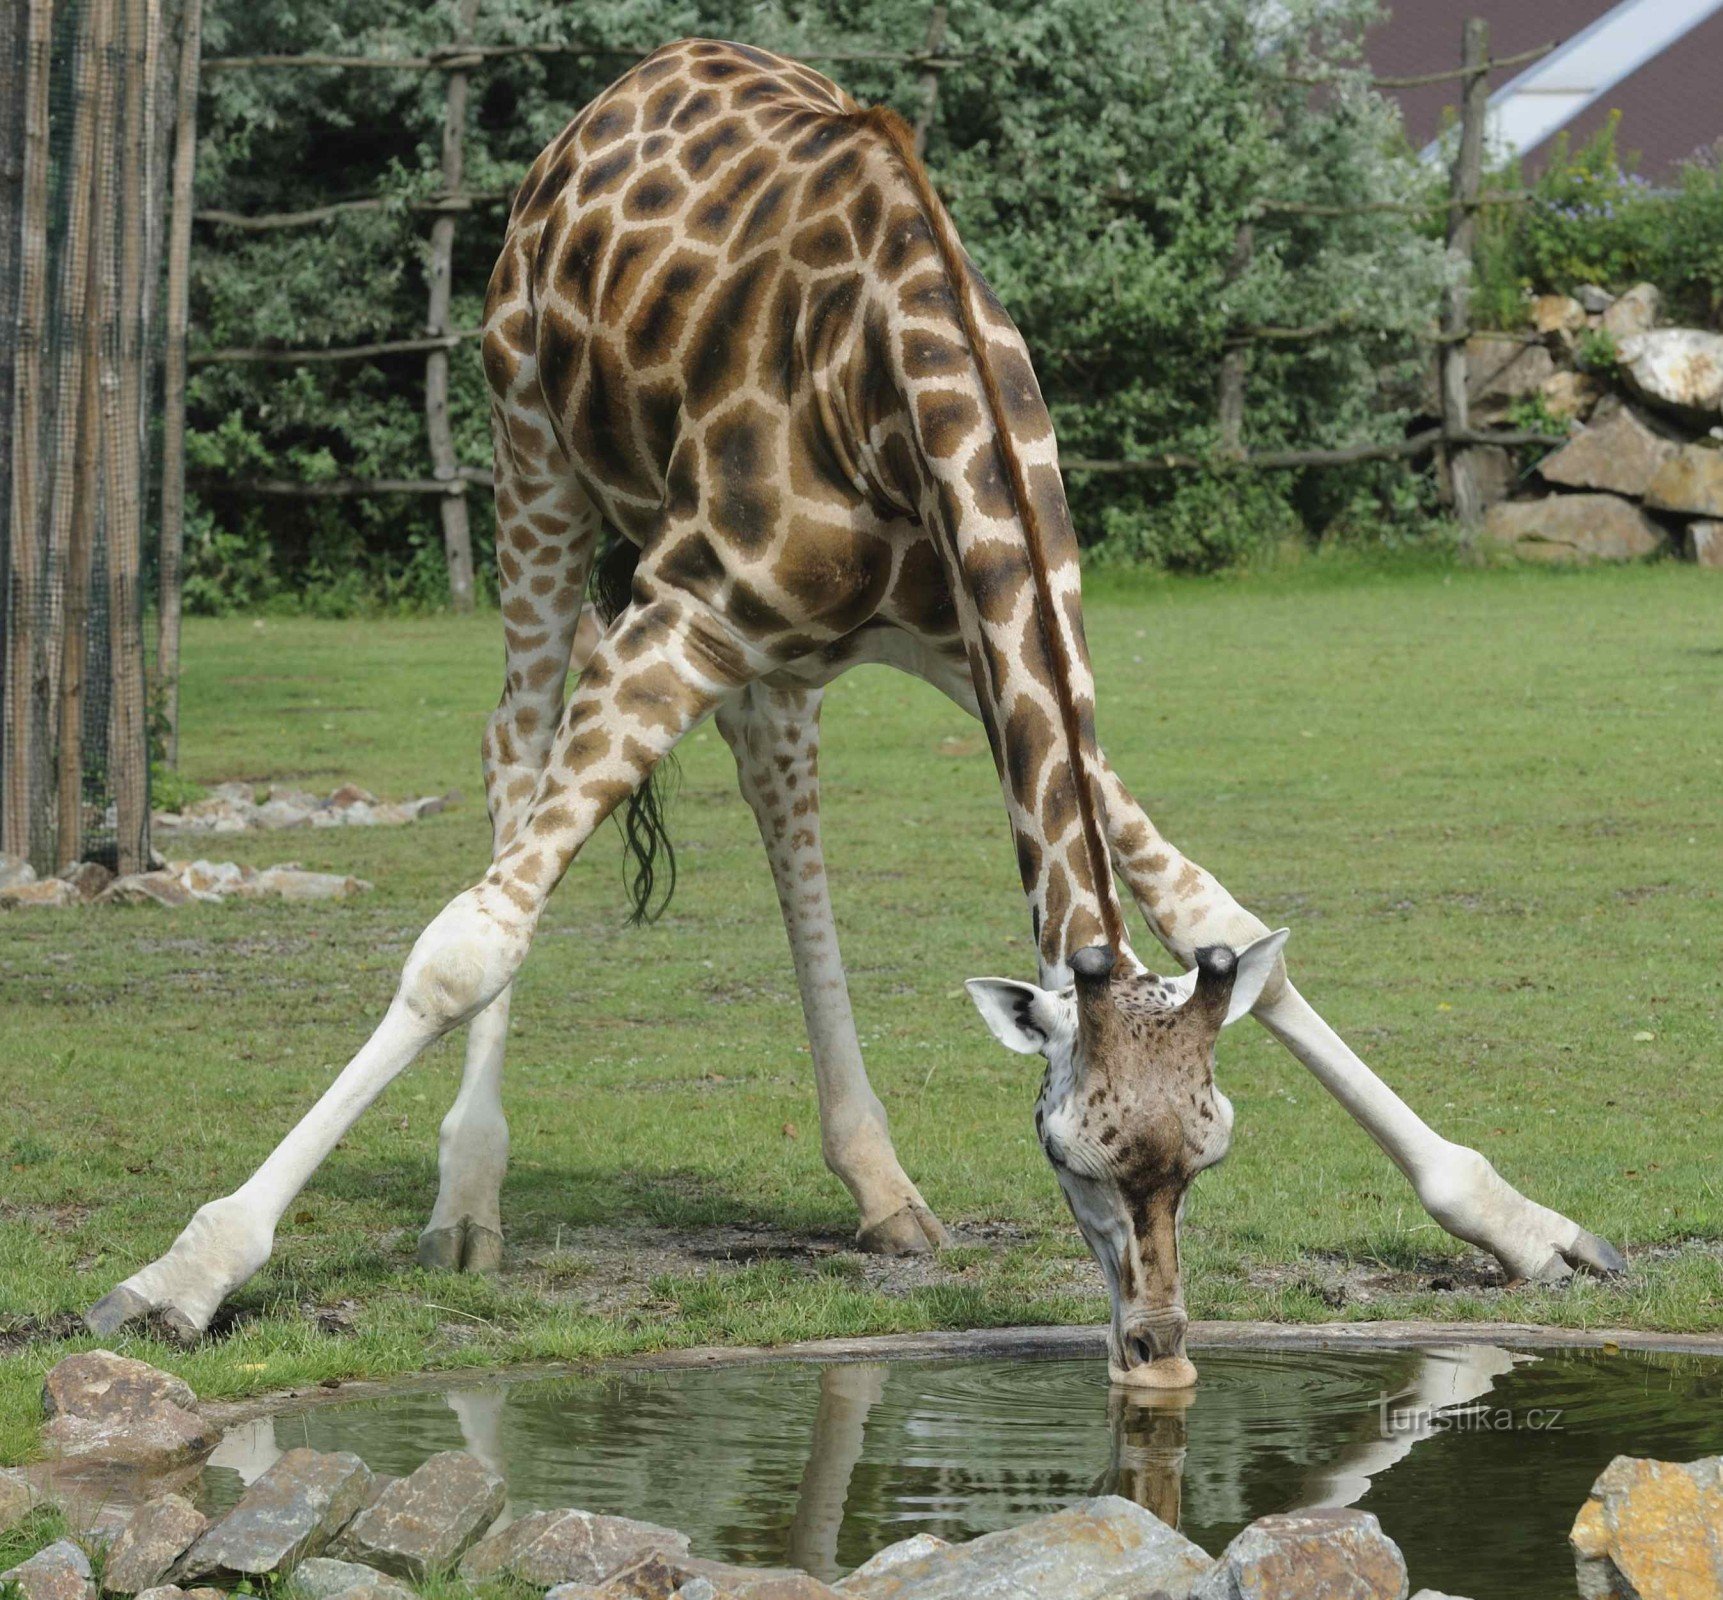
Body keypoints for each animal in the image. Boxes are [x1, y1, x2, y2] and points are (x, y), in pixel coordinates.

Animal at [86, 40, 1624, 1385]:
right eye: (1068, 1155)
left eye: (1208, 1150)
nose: (1157, 1353)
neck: (910, 380)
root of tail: (606, 100)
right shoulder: (683, 608)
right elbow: (467, 940)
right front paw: (179, 1277)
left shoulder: (960, 638)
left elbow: (1219, 917)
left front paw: (1529, 1228)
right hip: (533, 454)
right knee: (512, 759)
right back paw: (469, 1206)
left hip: (775, 633)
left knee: (776, 778)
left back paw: (878, 1186)